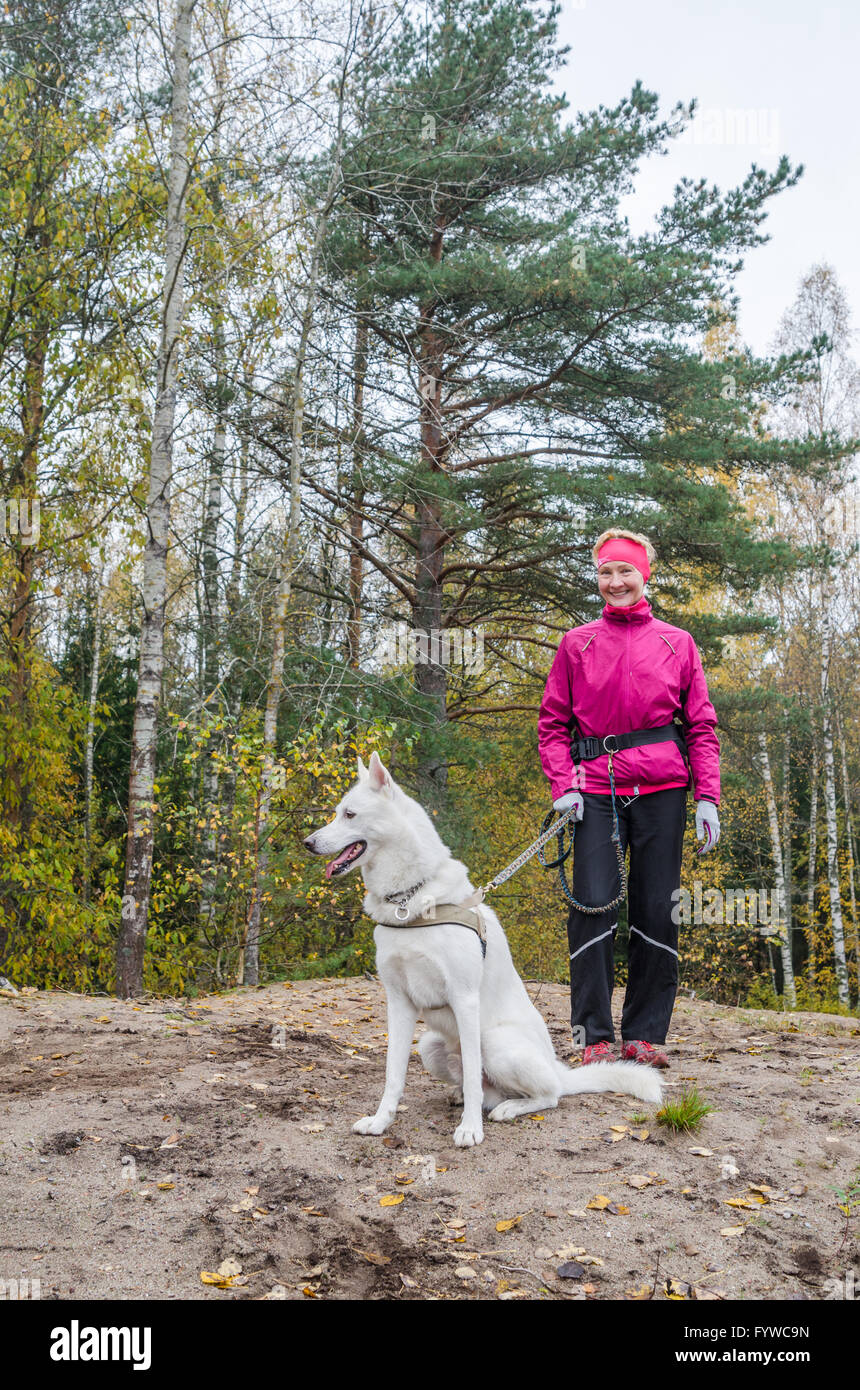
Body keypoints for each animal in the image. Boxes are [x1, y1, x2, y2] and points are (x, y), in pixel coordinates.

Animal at [305, 756, 664, 1145]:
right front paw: (381, 1121)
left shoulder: (464, 999)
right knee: (481, 1086)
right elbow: (392, 1075)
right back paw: (463, 1096)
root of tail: (559, 1071)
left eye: (350, 815)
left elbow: (473, 1078)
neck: (411, 902)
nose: (307, 842)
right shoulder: (398, 1003)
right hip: (429, 1045)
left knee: (546, 1095)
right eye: (337, 813)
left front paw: (469, 1129)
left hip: (495, 1042)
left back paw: (507, 1108)